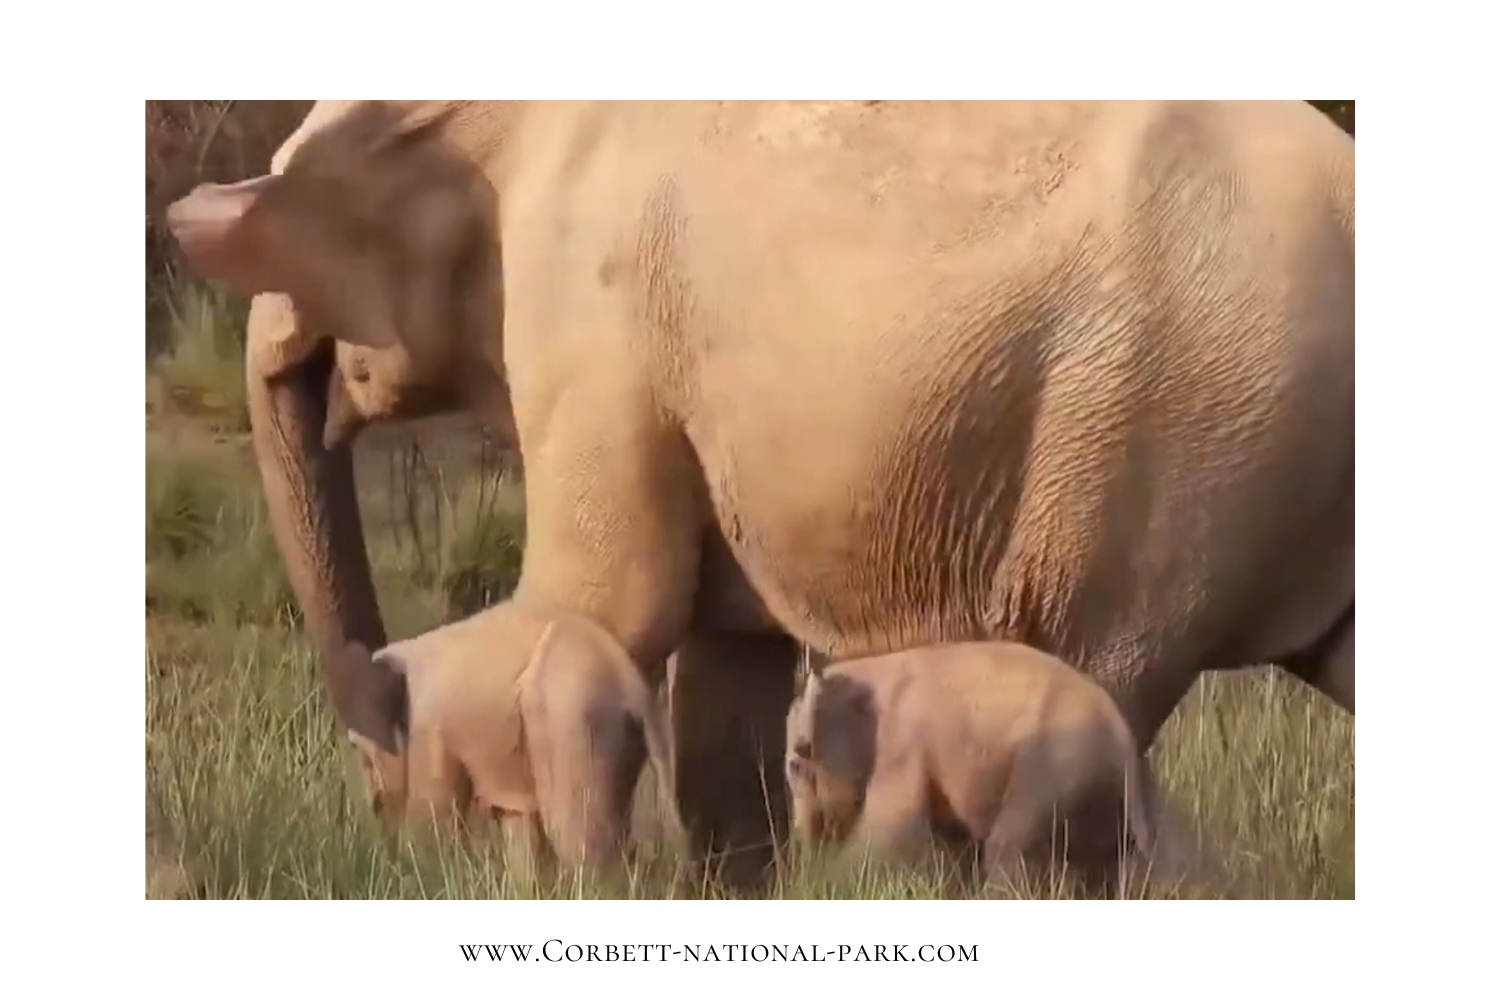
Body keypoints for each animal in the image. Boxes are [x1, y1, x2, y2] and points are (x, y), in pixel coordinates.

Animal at [784, 641, 1201, 897]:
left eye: (798, 763)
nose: (801, 880)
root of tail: (1120, 731)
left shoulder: (901, 745)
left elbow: (891, 833)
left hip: (1052, 762)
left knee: (1009, 845)